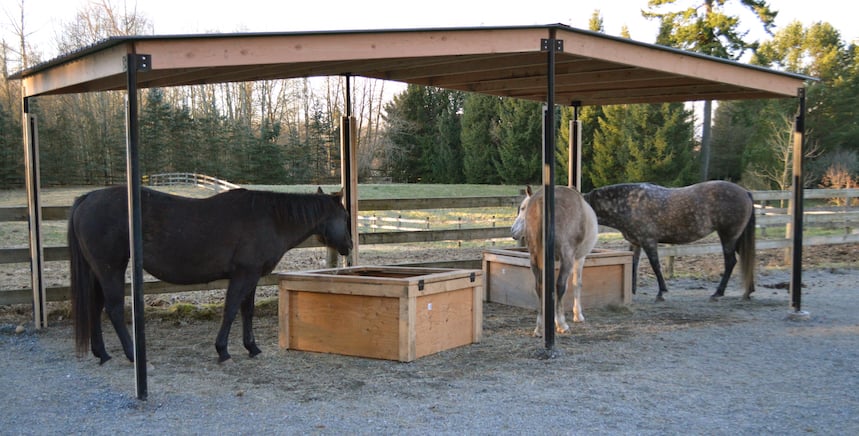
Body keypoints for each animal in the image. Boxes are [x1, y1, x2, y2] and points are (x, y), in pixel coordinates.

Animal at [65, 186, 352, 362]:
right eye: (346, 216)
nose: (349, 246)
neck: (270, 219)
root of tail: (86, 199)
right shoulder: (244, 275)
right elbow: (232, 309)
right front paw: (222, 350)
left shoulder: (253, 276)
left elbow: (247, 310)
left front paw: (252, 347)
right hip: (111, 268)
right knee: (113, 309)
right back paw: (132, 354)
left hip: (98, 272)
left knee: (95, 307)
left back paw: (101, 353)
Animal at [510, 185, 596, 338]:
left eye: (523, 208)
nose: (513, 231)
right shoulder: (578, 258)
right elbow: (577, 283)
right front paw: (577, 315)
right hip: (567, 257)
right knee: (560, 285)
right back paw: (562, 324)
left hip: (534, 258)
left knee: (539, 287)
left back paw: (540, 327)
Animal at [584, 182, 760, 302]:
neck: (629, 203)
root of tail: (745, 192)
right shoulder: (636, 243)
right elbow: (633, 265)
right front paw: (632, 291)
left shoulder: (648, 241)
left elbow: (655, 266)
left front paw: (661, 293)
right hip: (736, 239)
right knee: (746, 259)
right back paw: (748, 291)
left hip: (728, 237)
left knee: (730, 262)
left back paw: (718, 293)